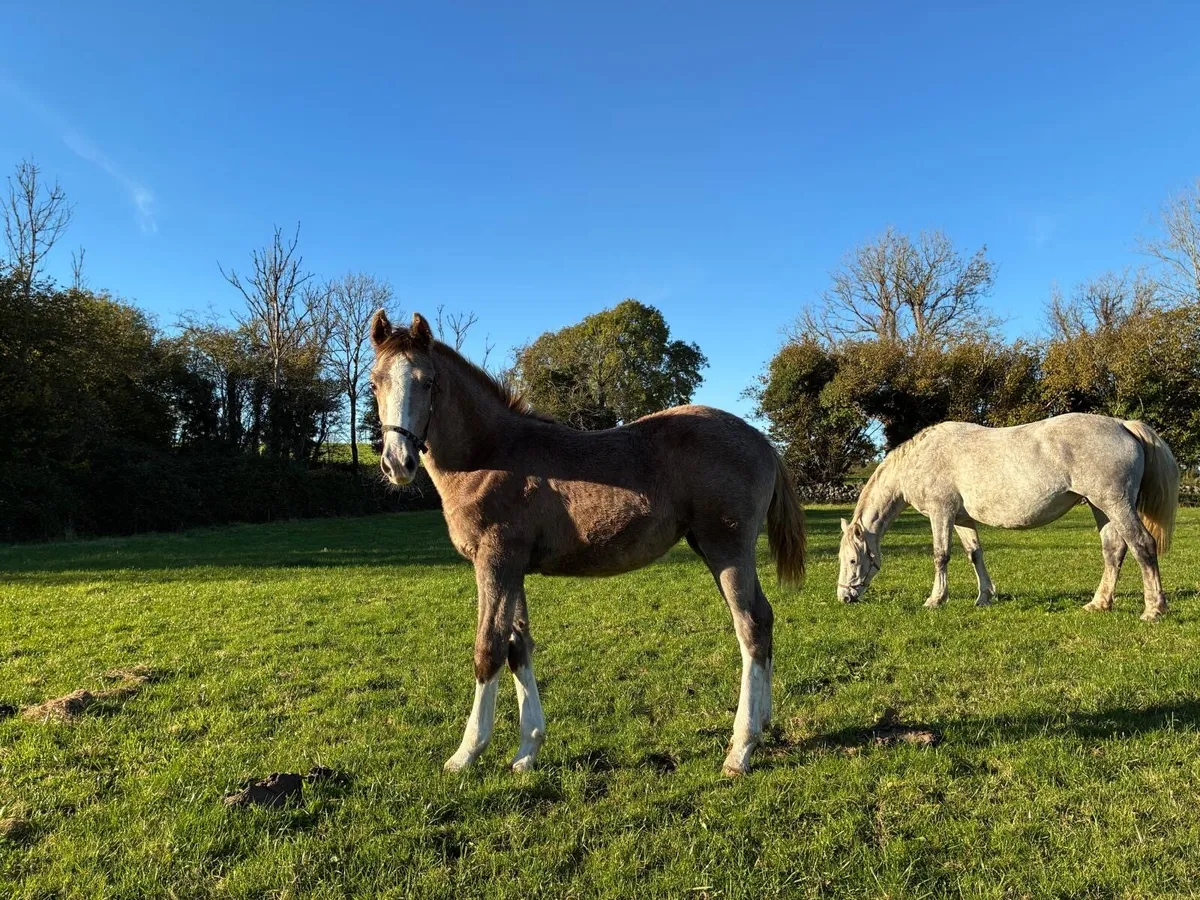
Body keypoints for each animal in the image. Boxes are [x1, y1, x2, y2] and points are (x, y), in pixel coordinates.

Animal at [369, 311, 806, 775]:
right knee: (764, 618)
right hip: (714, 550)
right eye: (375, 382)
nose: (397, 463)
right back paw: (764, 723)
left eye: (428, 381)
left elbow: (489, 648)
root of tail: (762, 440)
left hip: (727, 548)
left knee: (750, 626)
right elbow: (518, 647)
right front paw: (527, 750)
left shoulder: (495, 561)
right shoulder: (515, 567)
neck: (489, 455)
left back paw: (740, 749)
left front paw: (466, 753)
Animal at [837, 413, 1179, 621]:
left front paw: (936, 599)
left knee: (1142, 546)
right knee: (1113, 551)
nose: (844, 597)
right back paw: (1099, 603)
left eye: (852, 560)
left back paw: (1153, 609)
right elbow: (975, 554)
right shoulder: (962, 519)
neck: (921, 459)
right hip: (1101, 507)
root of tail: (1122, 424)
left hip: (1116, 504)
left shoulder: (941, 512)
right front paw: (984, 597)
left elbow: (941, 555)